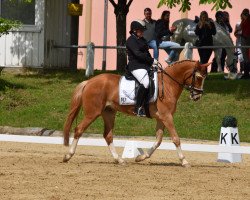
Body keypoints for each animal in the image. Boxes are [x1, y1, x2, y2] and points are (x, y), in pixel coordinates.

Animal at [63, 59, 209, 167]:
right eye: (198, 77)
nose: (197, 96)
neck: (168, 84)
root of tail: (89, 81)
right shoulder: (167, 117)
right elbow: (176, 138)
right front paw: (184, 161)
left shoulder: (161, 118)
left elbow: (158, 140)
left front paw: (141, 157)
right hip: (92, 113)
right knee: (79, 129)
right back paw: (67, 156)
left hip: (109, 113)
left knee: (108, 135)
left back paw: (119, 160)